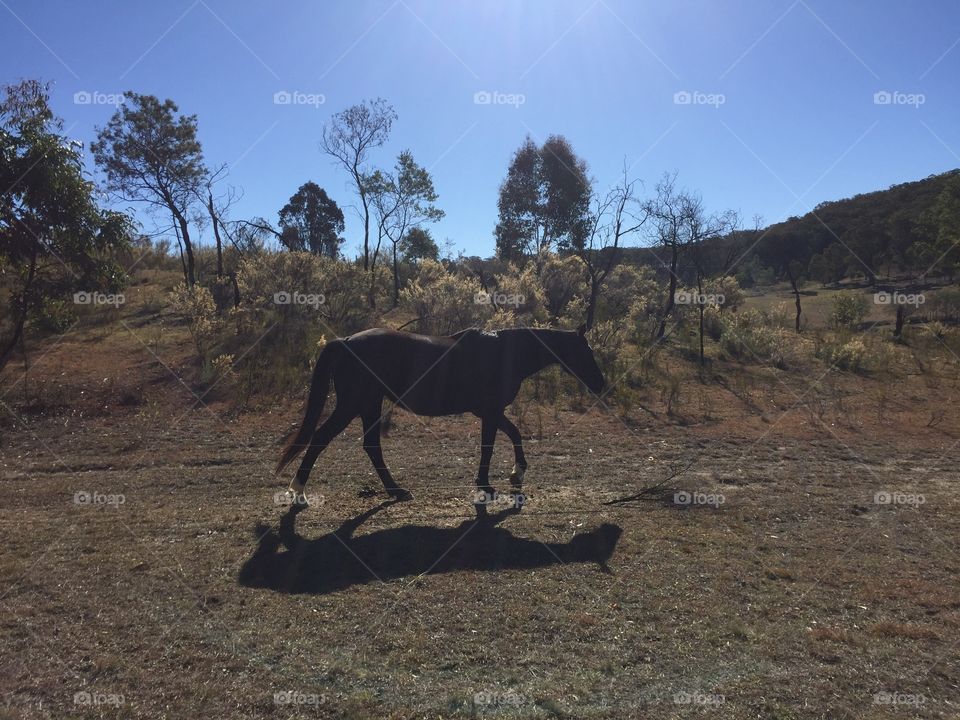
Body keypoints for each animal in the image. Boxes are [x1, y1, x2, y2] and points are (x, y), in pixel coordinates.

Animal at [274, 324, 604, 516]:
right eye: (586, 351)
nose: (601, 384)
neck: (504, 352)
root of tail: (343, 341)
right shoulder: (490, 411)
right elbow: (491, 445)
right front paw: (488, 484)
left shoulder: (489, 411)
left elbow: (514, 434)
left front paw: (516, 474)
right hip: (354, 404)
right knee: (321, 439)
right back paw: (298, 491)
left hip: (369, 403)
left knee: (371, 446)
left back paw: (396, 490)